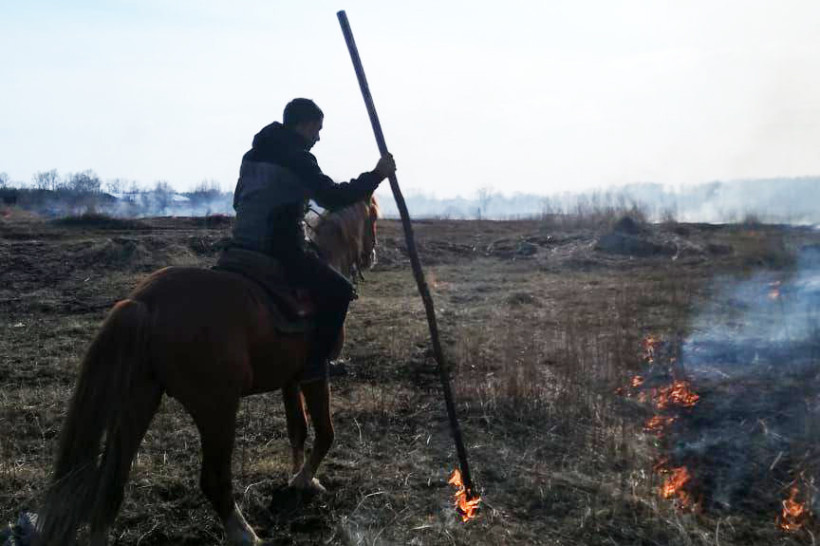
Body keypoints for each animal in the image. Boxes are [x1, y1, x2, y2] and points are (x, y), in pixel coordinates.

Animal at [36, 196, 381, 546]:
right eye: (374, 217)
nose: (372, 255)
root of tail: (145, 302)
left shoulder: (290, 380)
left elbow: (297, 429)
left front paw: (298, 476)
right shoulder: (315, 374)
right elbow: (325, 432)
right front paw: (303, 479)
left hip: (139, 400)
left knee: (113, 478)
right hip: (217, 409)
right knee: (213, 480)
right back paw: (244, 532)